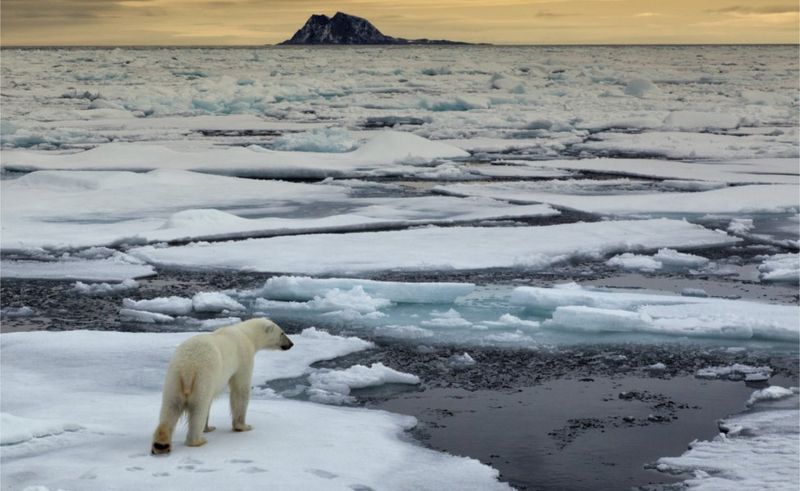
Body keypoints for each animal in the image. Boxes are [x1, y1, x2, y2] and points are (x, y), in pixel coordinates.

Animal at [152, 318, 292, 456]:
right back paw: (198, 441)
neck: (246, 334)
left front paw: (208, 428)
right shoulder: (243, 358)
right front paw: (243, 426)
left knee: (170, 407)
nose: (291, 344)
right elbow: (240, 390)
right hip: (203, 378)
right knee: (199, 408)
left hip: (173, 379)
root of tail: (187, 368)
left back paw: (161, 444)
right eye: (282, 333)